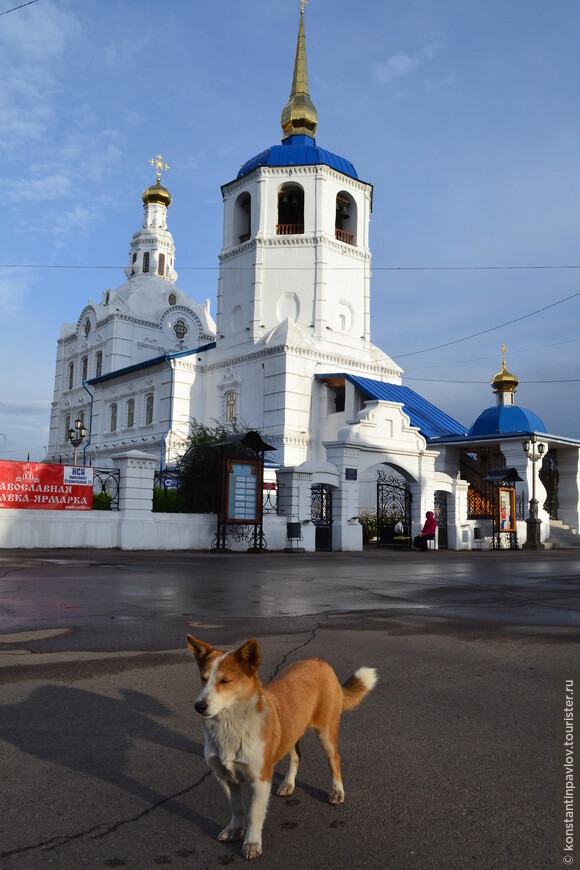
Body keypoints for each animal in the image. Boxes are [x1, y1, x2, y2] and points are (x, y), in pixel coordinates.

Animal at [186, 636, 376, 860]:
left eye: (225, 681)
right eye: (203, 679)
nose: (198, 706)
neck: (230, 726)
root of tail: (318, 661)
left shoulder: (261, 779)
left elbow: (253, 815)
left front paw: (252, 843)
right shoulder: (225, 777)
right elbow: (237, 808)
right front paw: (234, 829)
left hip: (326, 732)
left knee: (334, 760)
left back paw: (337, 790)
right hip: (291, 732)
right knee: (296, 756)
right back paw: (288, 783)